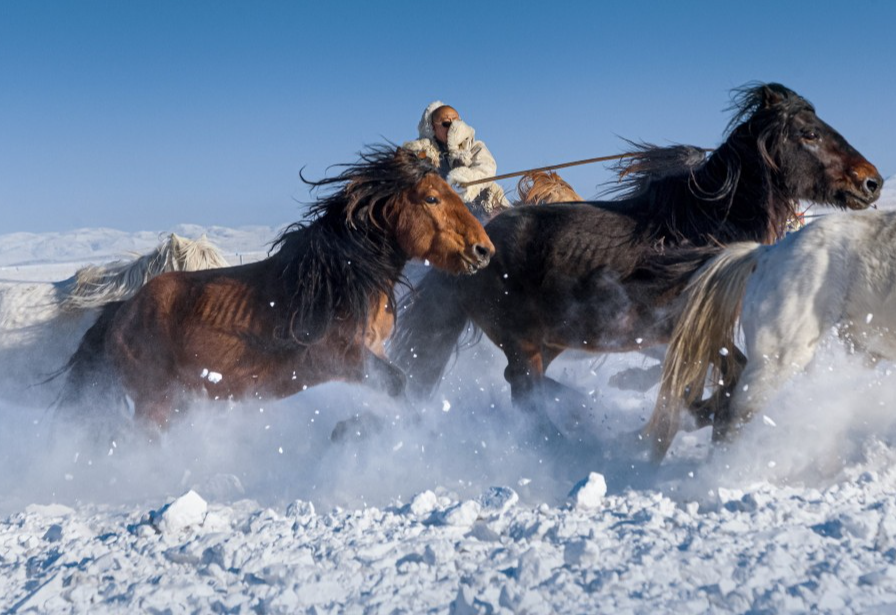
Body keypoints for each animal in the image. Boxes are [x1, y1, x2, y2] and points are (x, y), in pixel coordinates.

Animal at [59, 146, 494, 434]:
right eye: (432, 197)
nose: (483, 250)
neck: (337, 281)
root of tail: (119, 313)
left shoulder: (374, 350)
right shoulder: (344, 358)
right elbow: (401, 385)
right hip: (155, 404)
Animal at [392, 83, 880, 434]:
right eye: (809, 133)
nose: (872, 182)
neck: (702, 225)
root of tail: (477, 245)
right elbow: (724, 373)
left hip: (550, 340)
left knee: (525, 385)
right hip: (523, 341)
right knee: (524, 386)